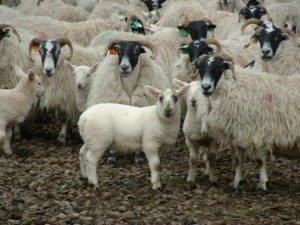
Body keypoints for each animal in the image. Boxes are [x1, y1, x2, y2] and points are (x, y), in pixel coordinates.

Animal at [196, 53, 300, 191]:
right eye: (200, 68)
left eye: (220, 68)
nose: (206, 87)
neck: (231, 87)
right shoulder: (239, 132)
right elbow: (239, 160)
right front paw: (236, 182)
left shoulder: (259, 131)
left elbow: (260, 160)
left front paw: (262, 184)